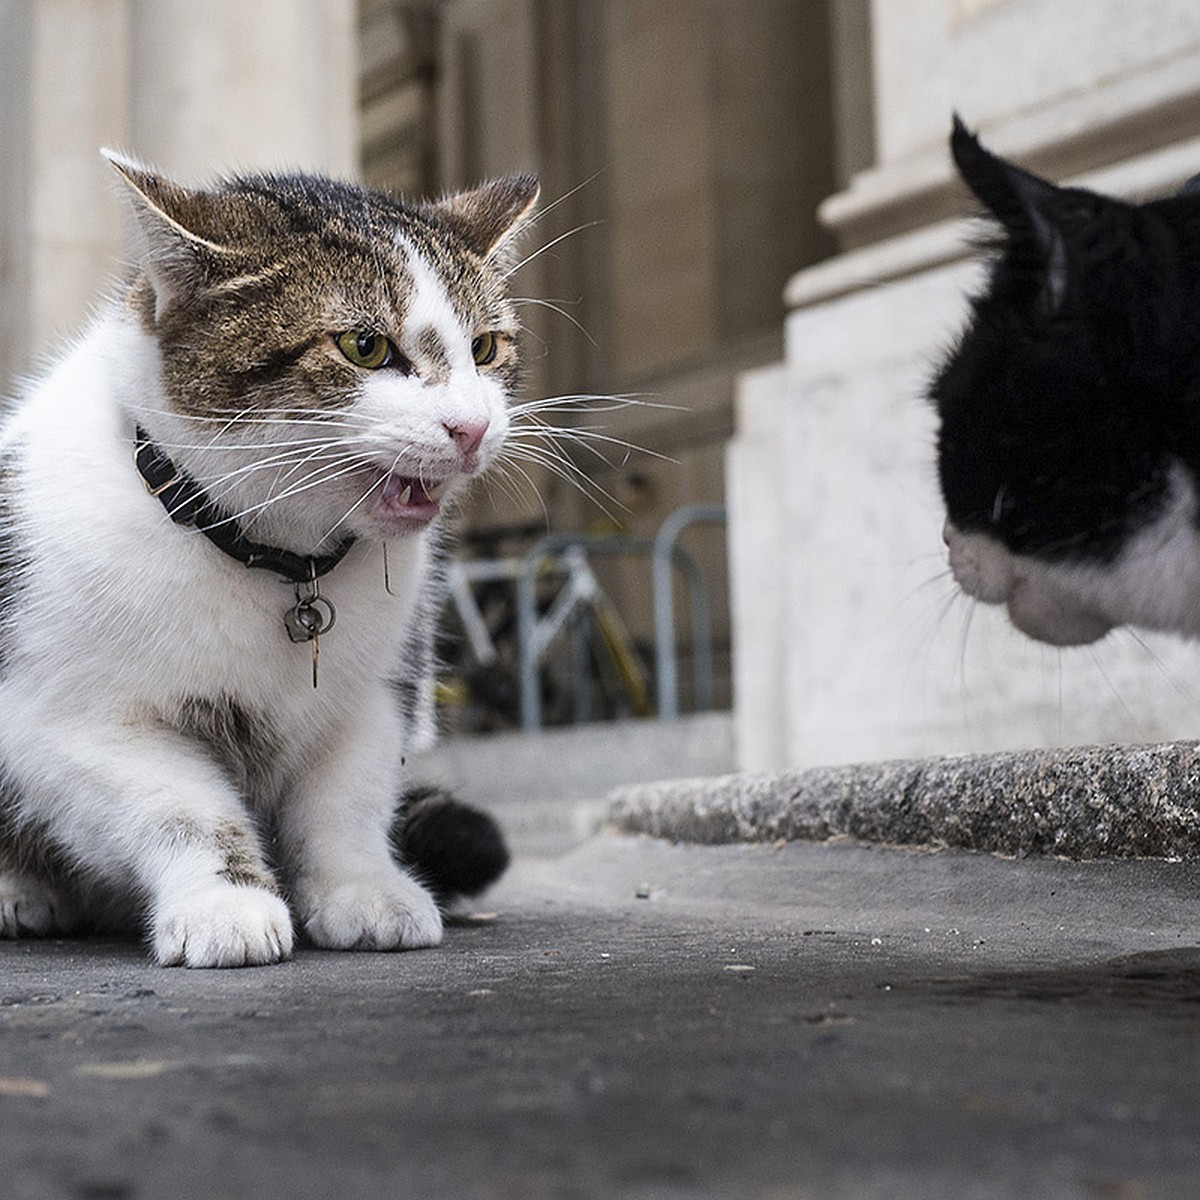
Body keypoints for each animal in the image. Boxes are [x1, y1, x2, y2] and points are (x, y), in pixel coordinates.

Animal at [0, 154, 535, 969]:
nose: (472, 428)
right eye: (364, 347)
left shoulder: (377, 693)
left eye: (484, 349)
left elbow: (346, 800)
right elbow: (182, 808)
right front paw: (227, 903)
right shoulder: (70, 724)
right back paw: (19, 890)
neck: (278, 562)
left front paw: (362, 889)